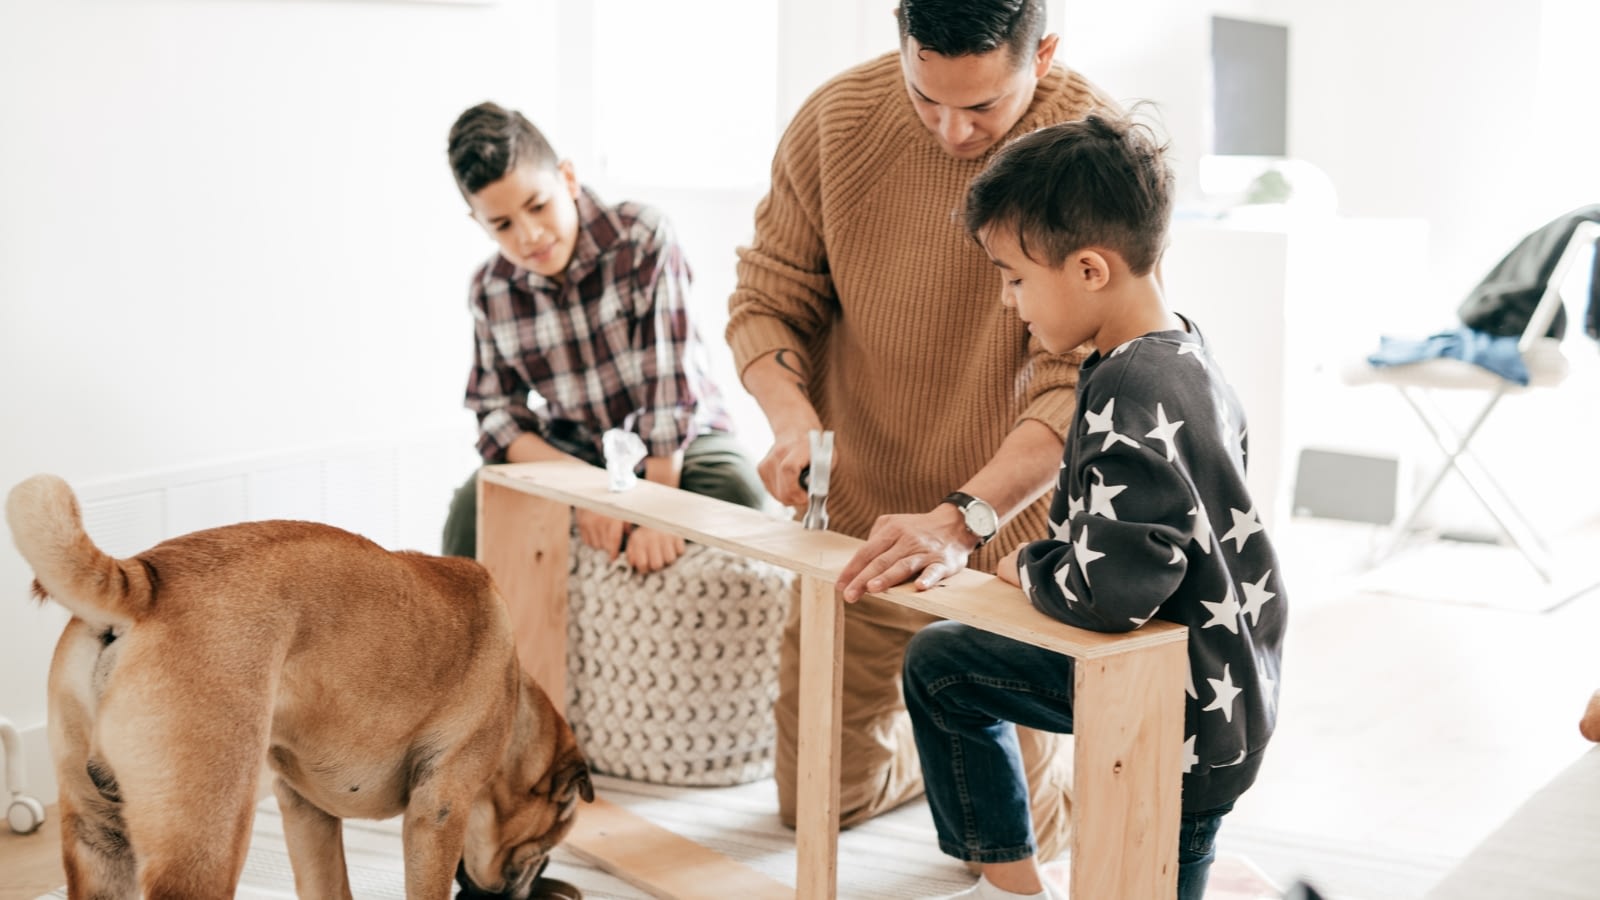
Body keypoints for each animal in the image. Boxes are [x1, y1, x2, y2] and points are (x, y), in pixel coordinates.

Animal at [6, 474, 595, 896]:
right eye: (544, 842)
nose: (535, 883)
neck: (515, 707)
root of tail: (143, 581)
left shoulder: (306, 813)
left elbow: (329, 885)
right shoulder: (437, 815)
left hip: (98, 837)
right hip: (206, 841)